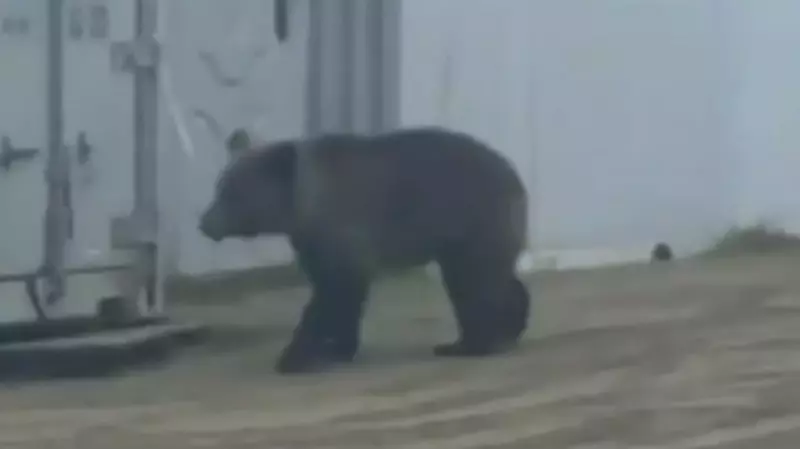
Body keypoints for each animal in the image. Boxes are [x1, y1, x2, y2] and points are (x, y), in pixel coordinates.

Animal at [198, 126, 531, 374]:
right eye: (219, 187)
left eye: (233, 194)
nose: (205, 223)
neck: (305, 210)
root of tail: (517, 179)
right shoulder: (313, 242)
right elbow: (340, 292)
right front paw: (338, 348)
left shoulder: (343, 231)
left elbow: (335, 292)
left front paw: (296, 355)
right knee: (490, 279)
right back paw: (506, 328)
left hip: (472, 222)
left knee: (474, 284)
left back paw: (470, 344)